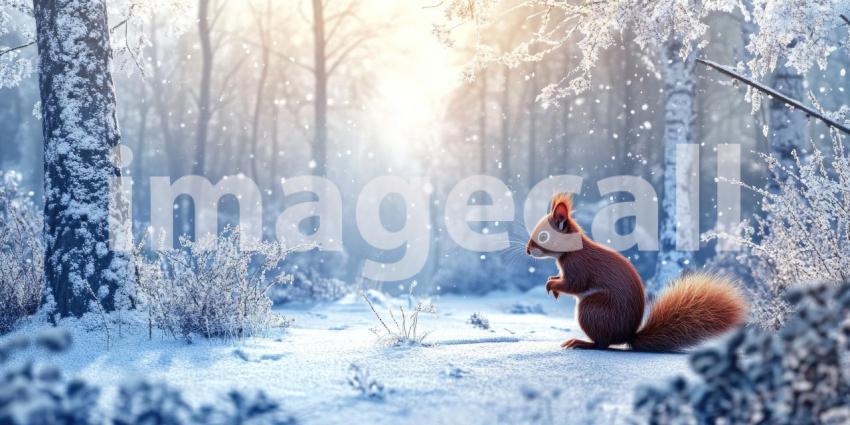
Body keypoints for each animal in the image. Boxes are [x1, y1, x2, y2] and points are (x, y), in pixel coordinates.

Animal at [525, 192, 746, 352]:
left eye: (543, 236)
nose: (527, 251)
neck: (572, 250)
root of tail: (627, 336)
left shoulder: (579, 266)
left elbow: (574, 284)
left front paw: (551, 285)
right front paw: (552, 282)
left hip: (592, 310)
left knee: (602, 344)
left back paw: (581, 342)